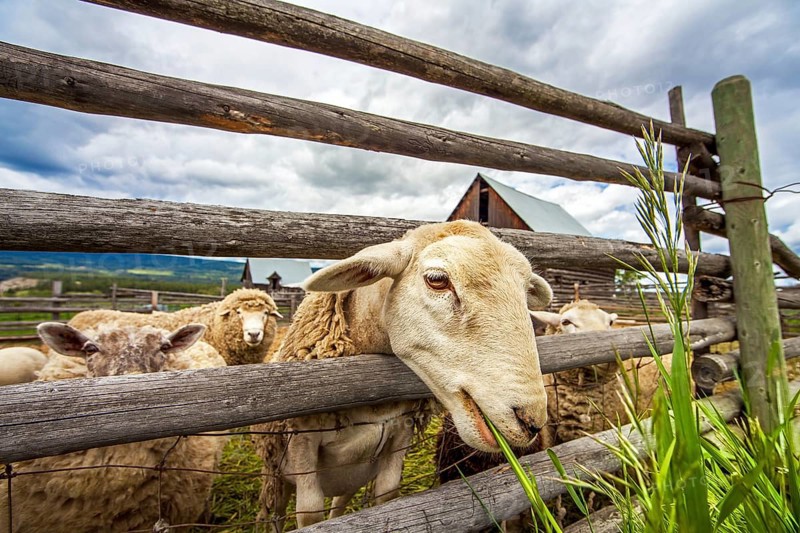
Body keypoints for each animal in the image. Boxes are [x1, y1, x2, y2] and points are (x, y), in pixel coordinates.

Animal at [253, 220, 554, 530]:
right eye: (437, 280)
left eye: (524, 291)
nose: (531, 422)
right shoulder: (302, 443)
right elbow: (310, 513)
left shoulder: (400, 434)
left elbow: (387, 495)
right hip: (275, 473)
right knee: (274, 510)